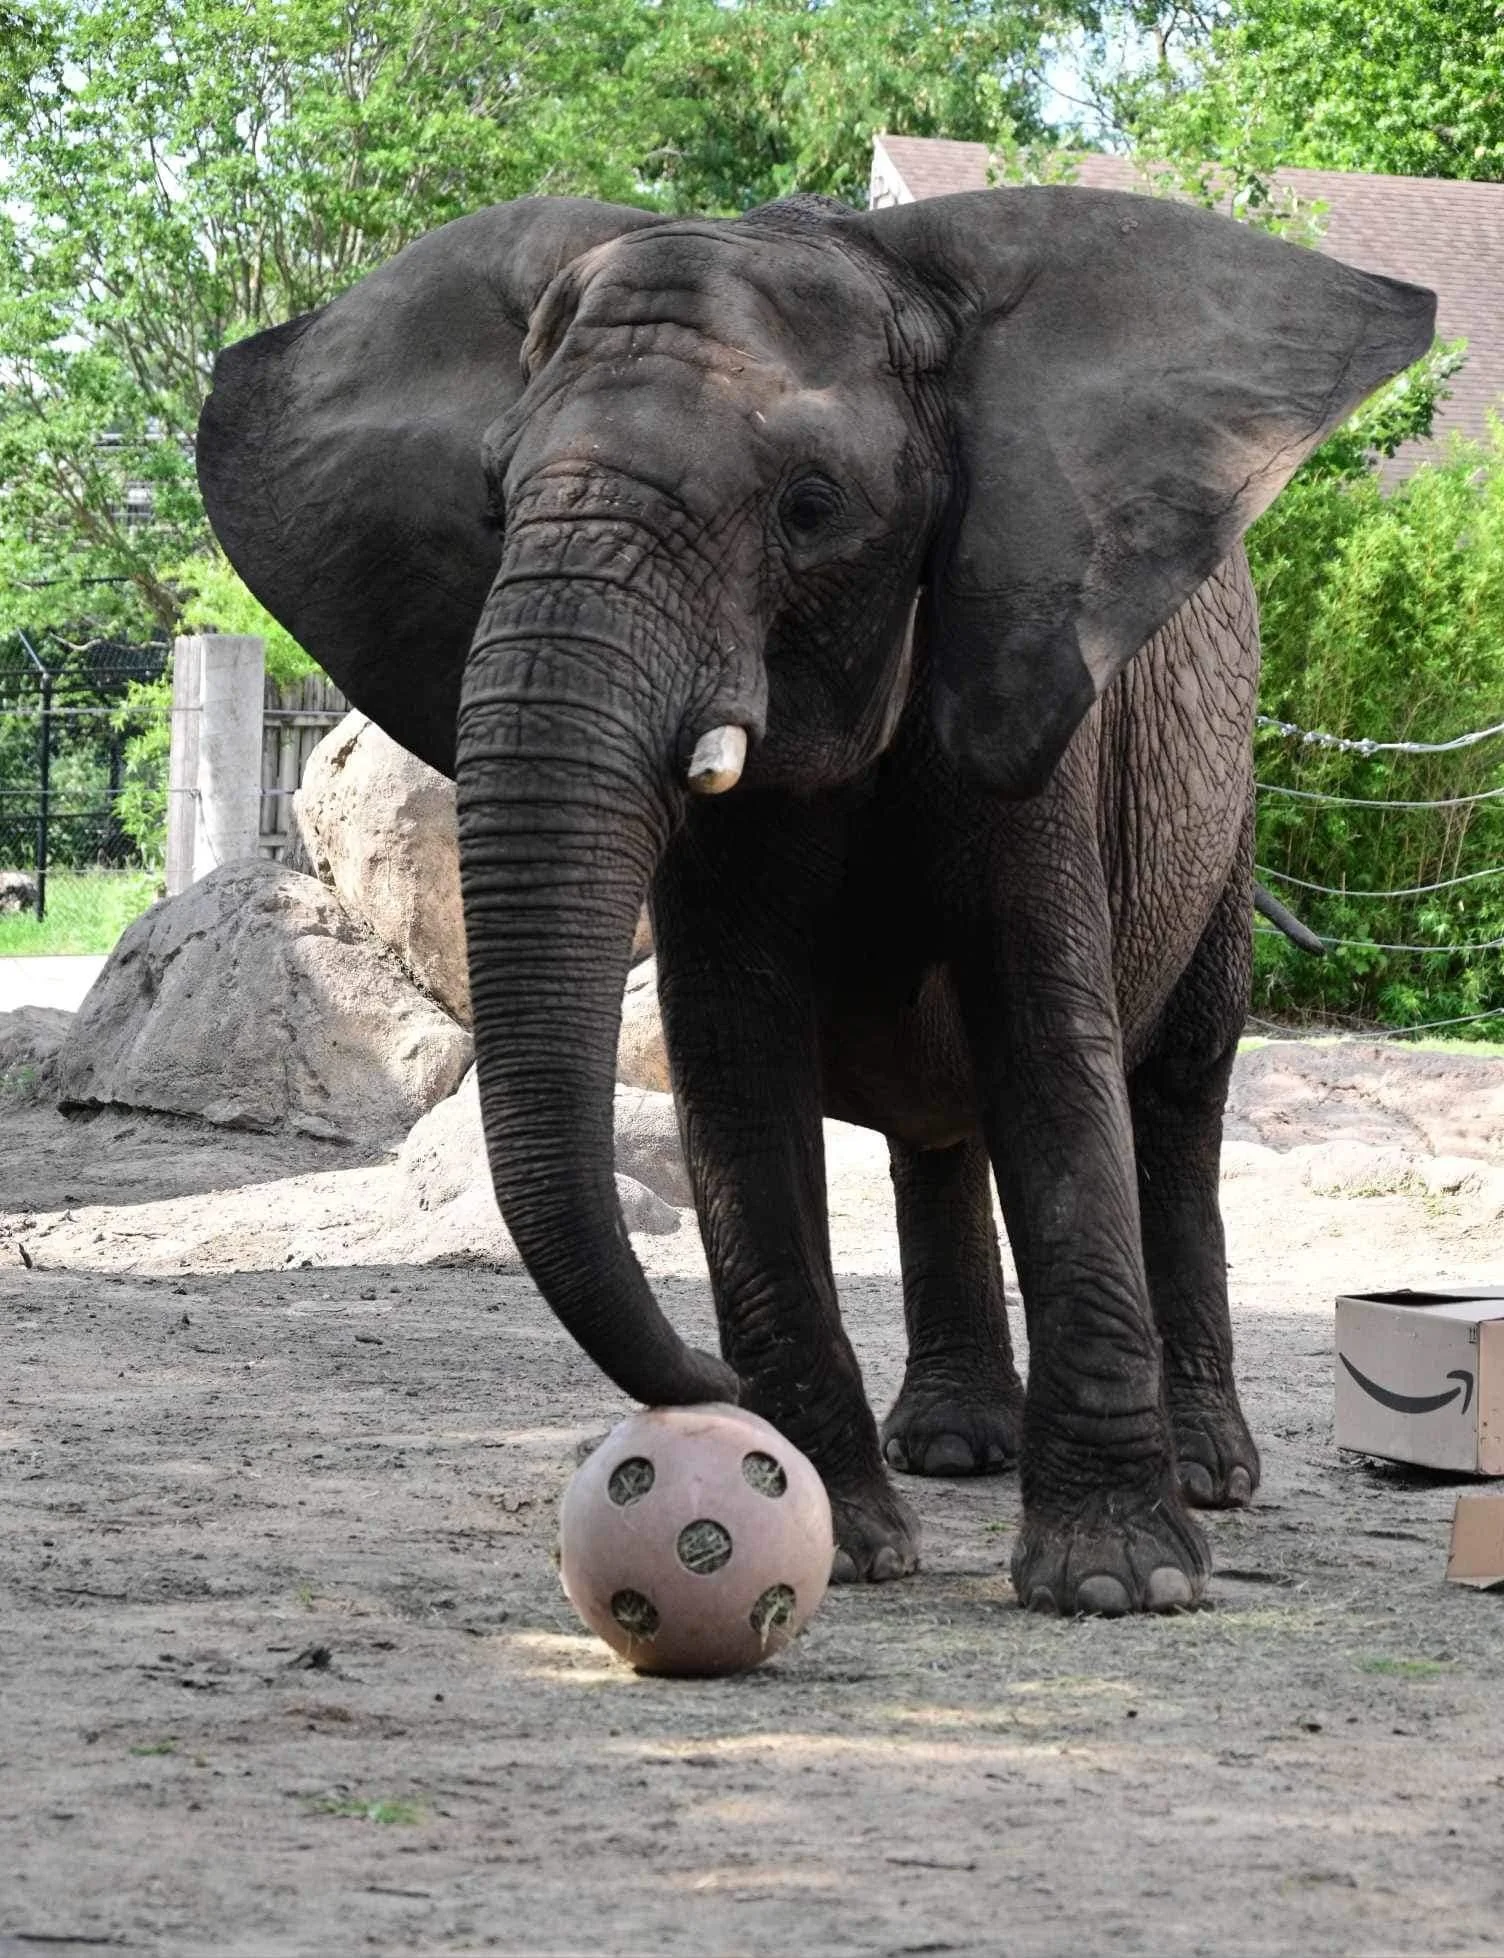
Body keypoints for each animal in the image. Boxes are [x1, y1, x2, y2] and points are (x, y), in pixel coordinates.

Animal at [198, 187, 1432, 1614]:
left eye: (810, 506)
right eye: (494, 505)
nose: (703, 1387)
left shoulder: (1034, 706)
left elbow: (1050, 1052)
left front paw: (1120, 1585)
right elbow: (737, 1062)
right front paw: (838, 1536)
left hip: (1223, 811)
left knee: (1176, 1091)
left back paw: (1209, 1473)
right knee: (942, 1129)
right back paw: (950, 1447)